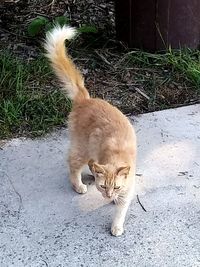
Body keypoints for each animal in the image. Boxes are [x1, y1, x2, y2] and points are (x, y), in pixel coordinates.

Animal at [44, 25, 137, 237]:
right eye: (103, 186)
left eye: (116, 186)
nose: (107, 195)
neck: (117, 155)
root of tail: (85, 99)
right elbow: (120, 212)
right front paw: (116, 225)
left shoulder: (127, 189)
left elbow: (121, 206)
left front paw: (115, 212)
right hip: (82, 148)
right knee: (73, 165)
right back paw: (78, 185)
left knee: (89, 164)